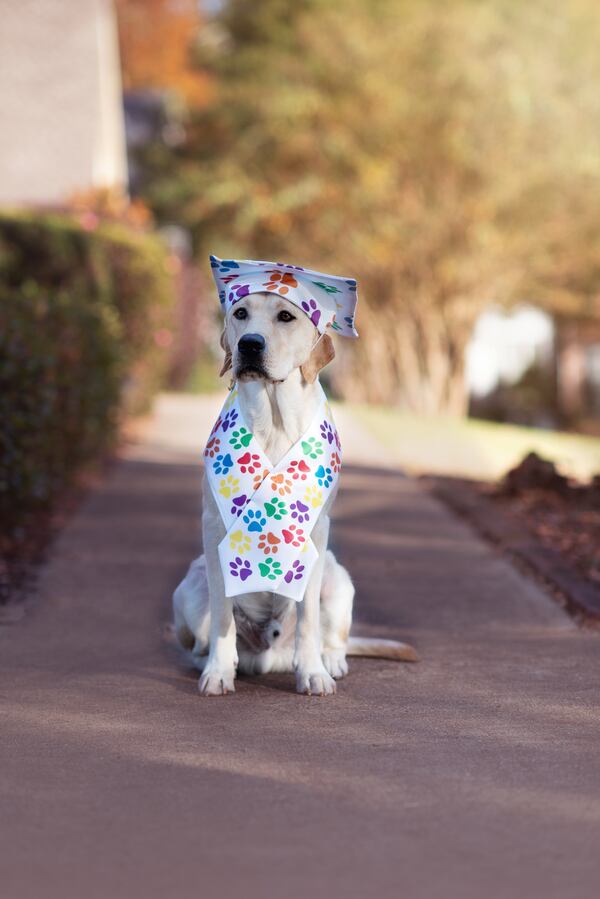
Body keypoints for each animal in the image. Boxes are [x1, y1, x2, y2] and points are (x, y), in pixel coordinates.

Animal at [173, 290, 418, 696]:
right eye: (240, 313)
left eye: (286, 317)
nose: (249, 344)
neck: (272, 420)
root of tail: (271, 655)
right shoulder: (213, 529)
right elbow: (222, 614)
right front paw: (218, 671)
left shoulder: (315, 534)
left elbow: (309, 620)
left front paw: (313, 673)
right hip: (191, 585)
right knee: (199, 640)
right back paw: (216, 663)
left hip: (337, 578)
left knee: (333, 637)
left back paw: (329, 661)